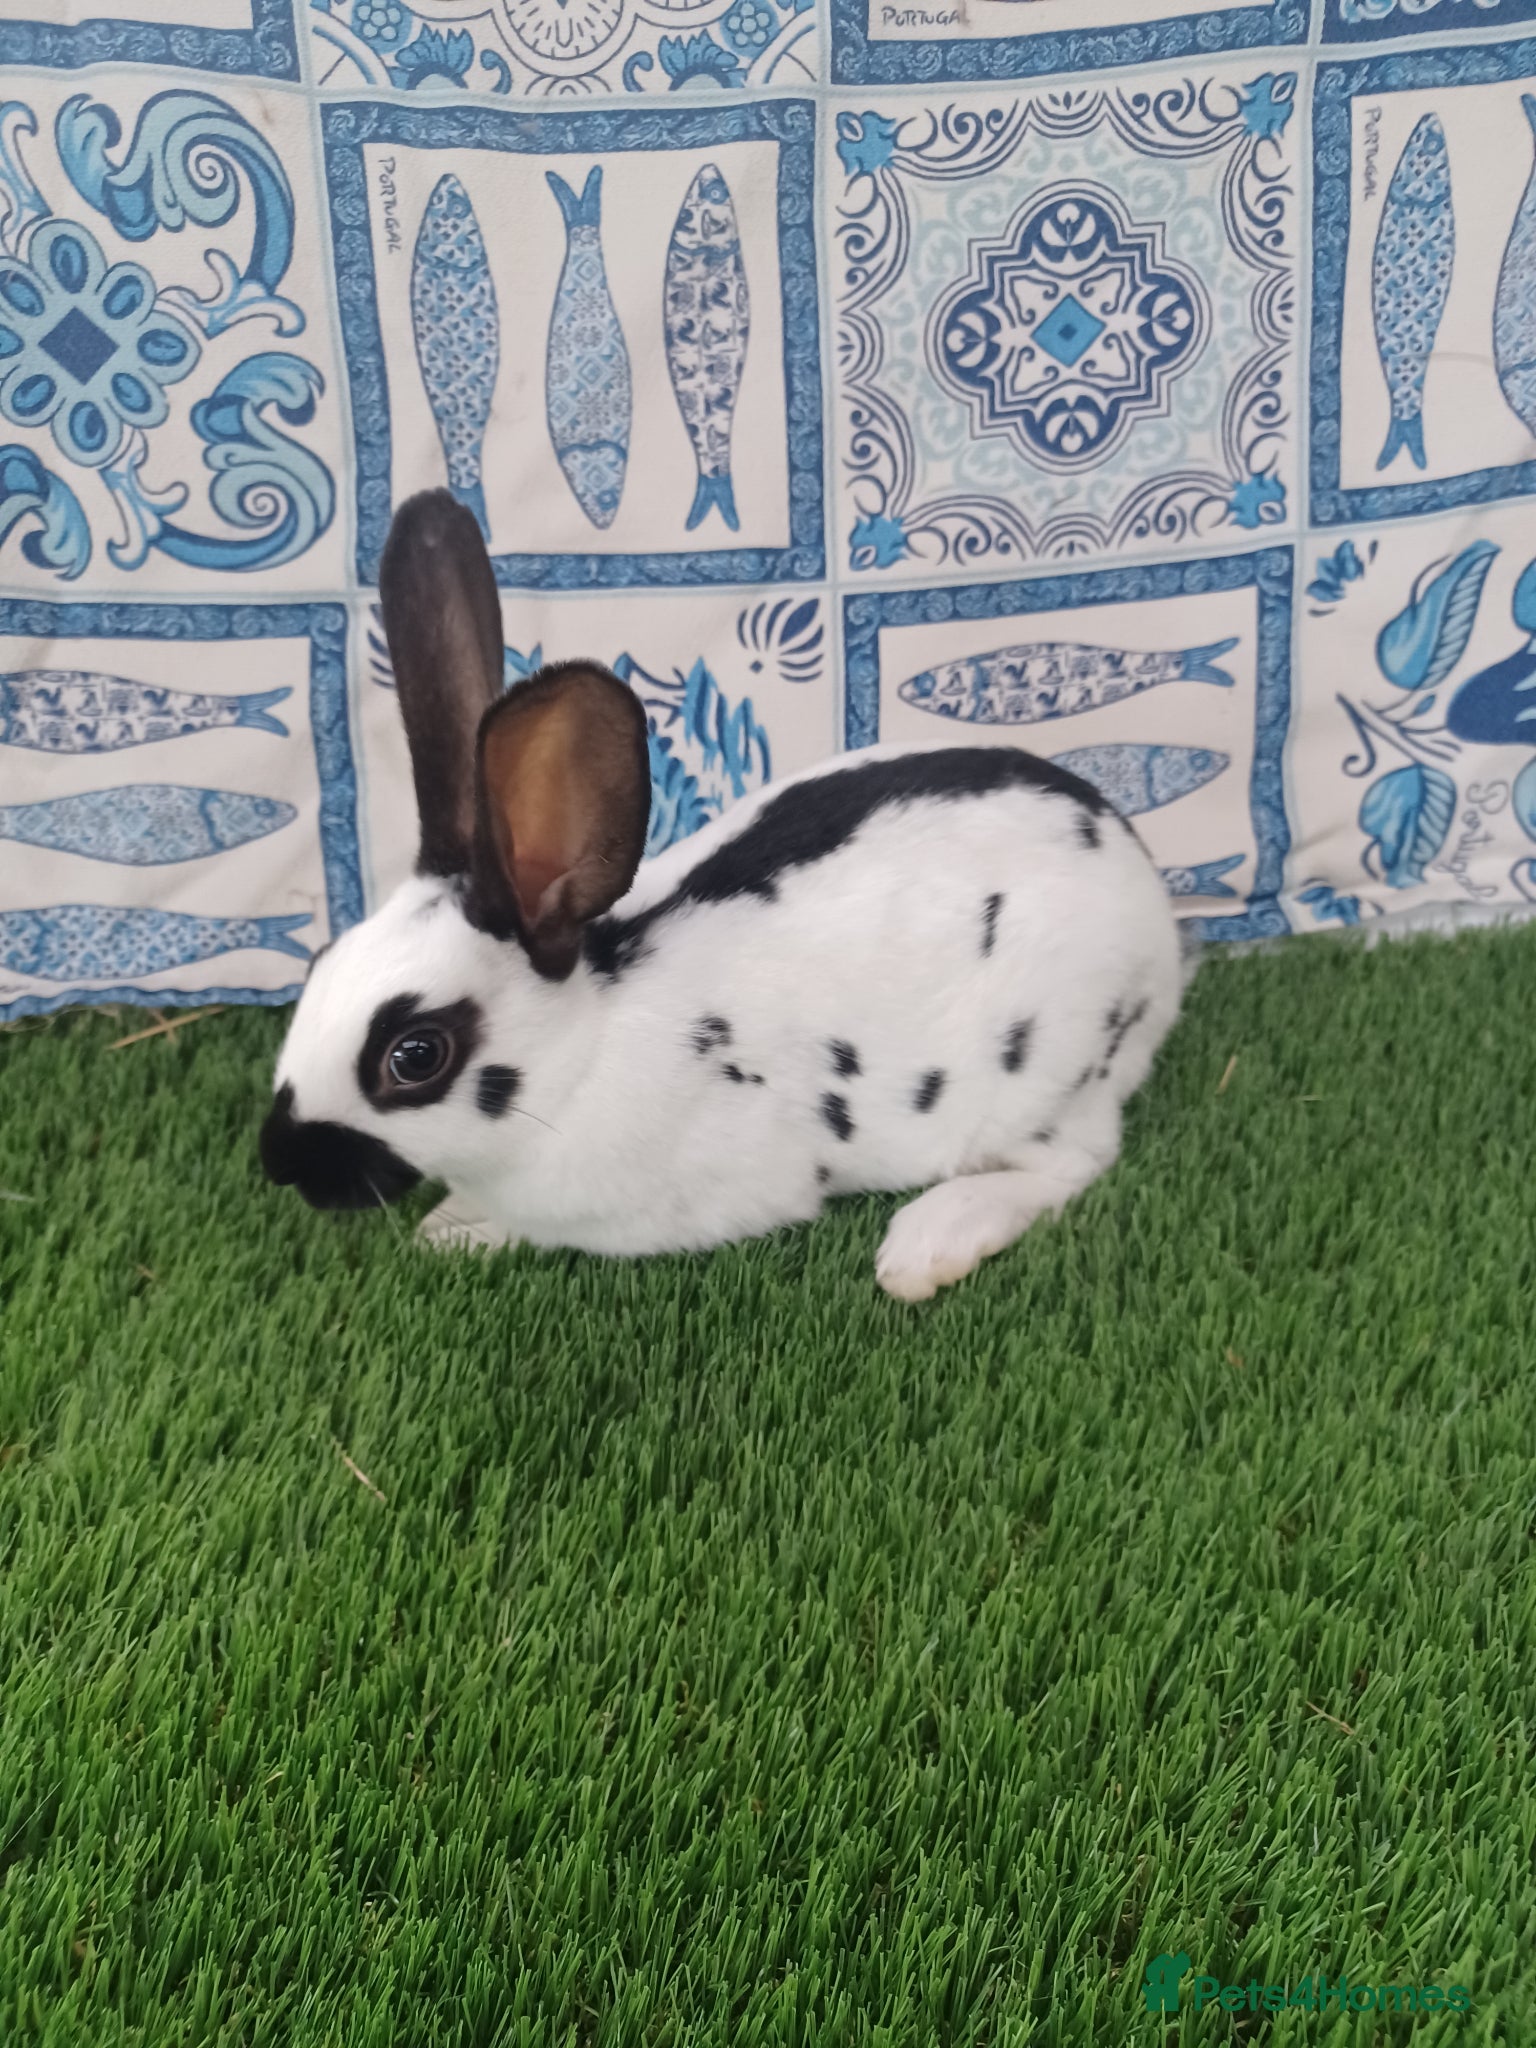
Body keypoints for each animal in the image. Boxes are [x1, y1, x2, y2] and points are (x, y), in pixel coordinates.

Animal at [259, 490, 1184, 1301]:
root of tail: (1162, 930)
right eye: (318, 962)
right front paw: (451, 1227)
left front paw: (457, 1228)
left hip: (1045, 1081)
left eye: (415, 1056)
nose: (280, 1165)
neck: (580, 1060)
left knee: (1071, 1166)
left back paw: (926, 1244)